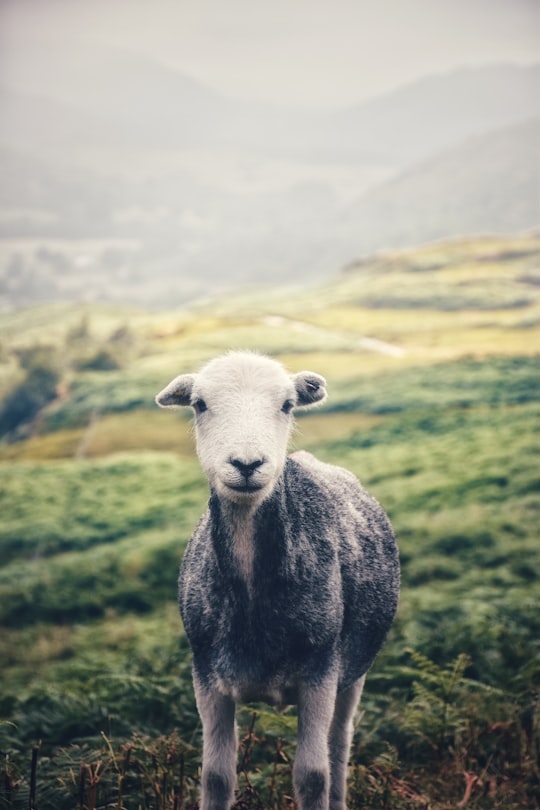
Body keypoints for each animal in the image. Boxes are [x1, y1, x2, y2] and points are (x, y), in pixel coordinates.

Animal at [154, 352, 398, 808]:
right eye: (199, 404)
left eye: (287, 405)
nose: (247, 464)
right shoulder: (206, 675)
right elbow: (215, 776)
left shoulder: (321, 671)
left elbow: (312, 776)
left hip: (355, 669)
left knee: (339, 745)